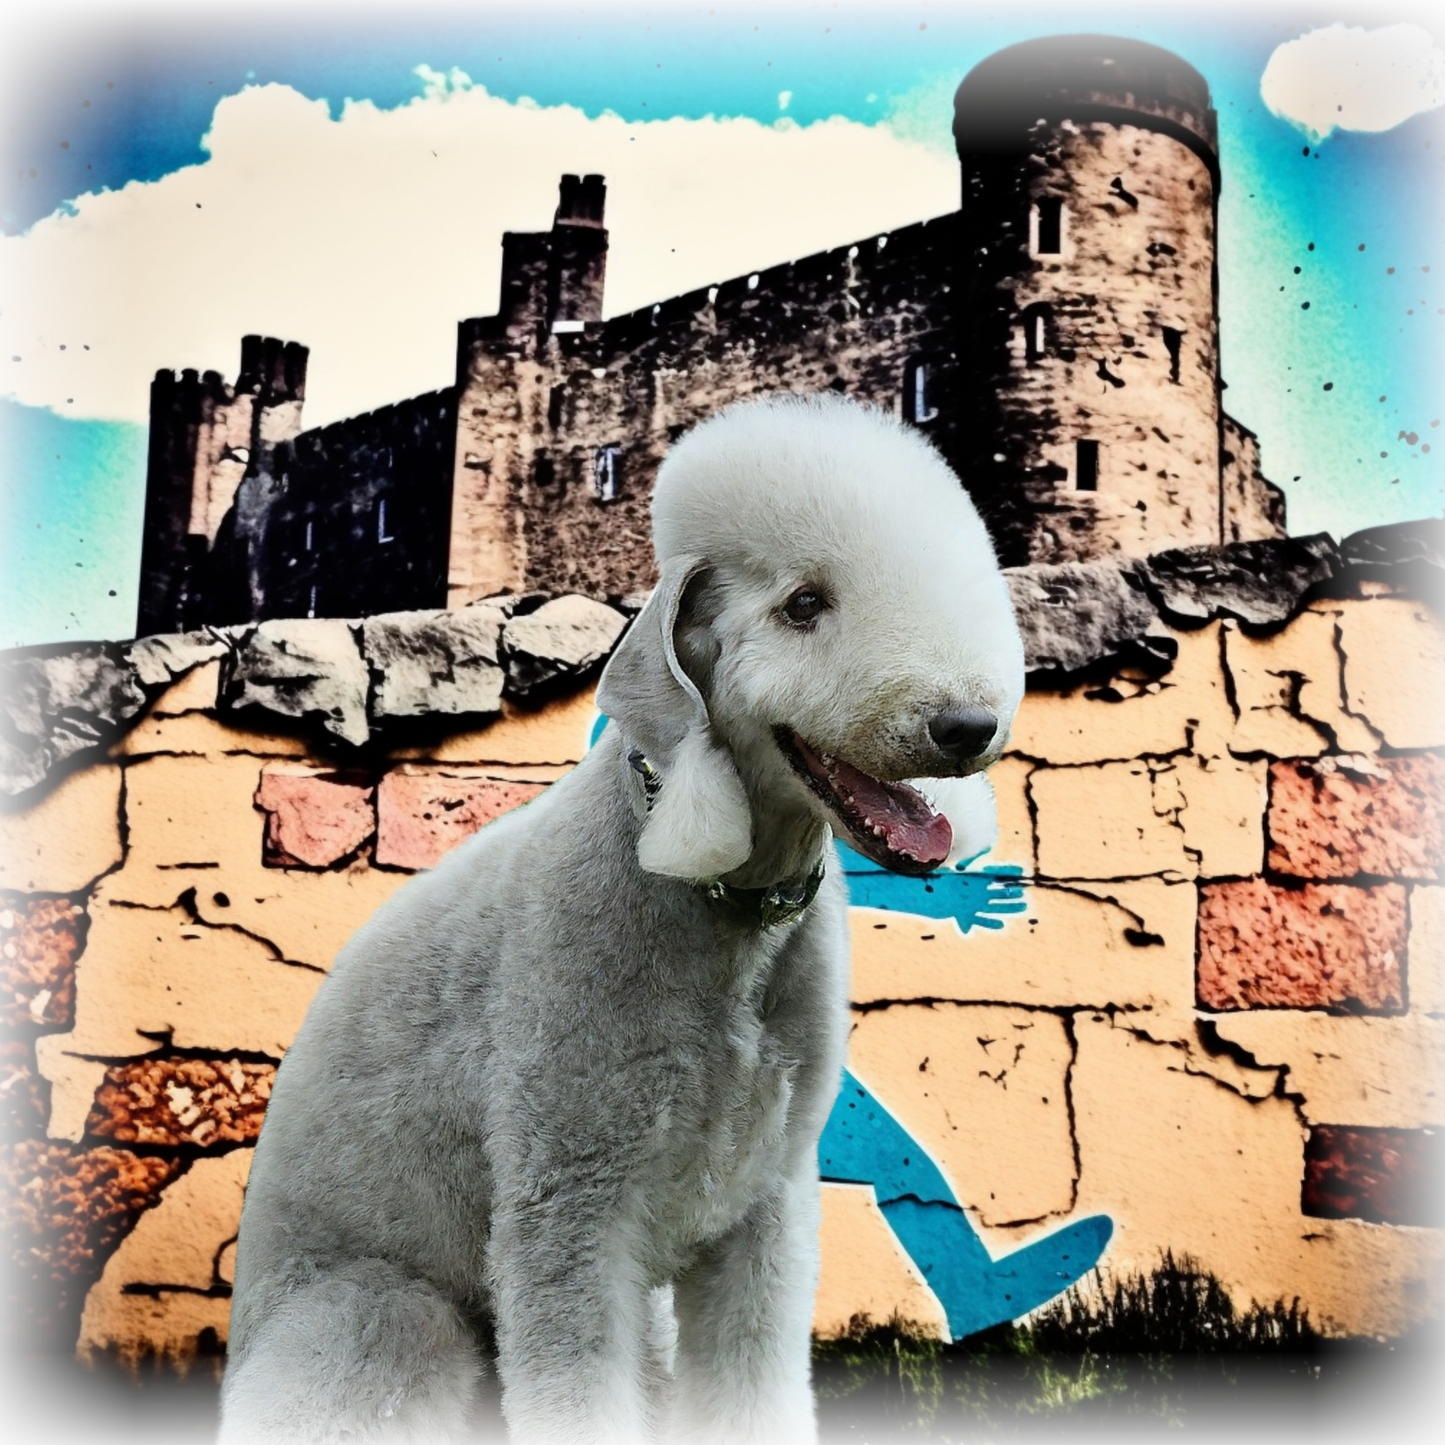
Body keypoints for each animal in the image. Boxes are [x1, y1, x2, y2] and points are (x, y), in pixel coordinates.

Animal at [219, 395, 1023, 1445]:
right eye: (803, 604)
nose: (968, 727)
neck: (728, 914)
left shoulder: (761, 1211)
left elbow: (751, 1391)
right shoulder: (568, 1206)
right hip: (385, 1320)